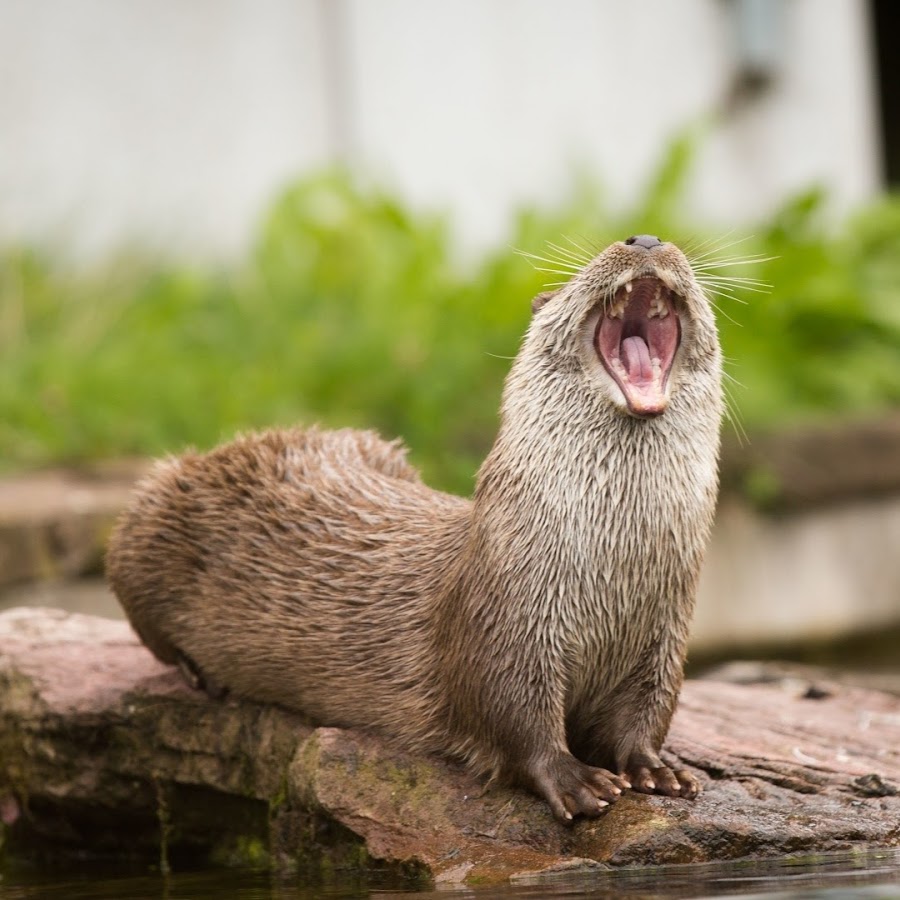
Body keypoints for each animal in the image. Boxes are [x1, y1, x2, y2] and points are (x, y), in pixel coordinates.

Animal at [107, 234, 724, 824]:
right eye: (577, 277)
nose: (645, 239)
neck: (613, 576)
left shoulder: (664, 636)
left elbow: (647, 713)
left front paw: (657, 769)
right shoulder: (505, 622)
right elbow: (512, 714)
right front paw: (574, 778)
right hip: (144, 524)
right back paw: (202, 676)